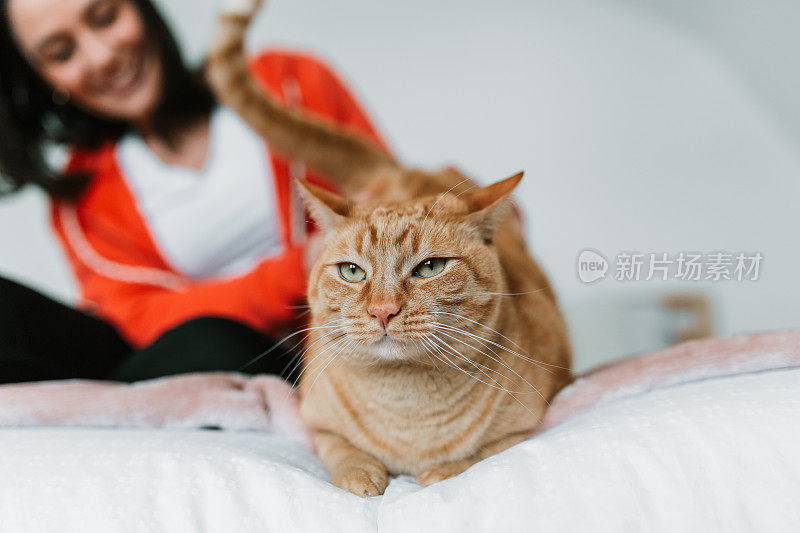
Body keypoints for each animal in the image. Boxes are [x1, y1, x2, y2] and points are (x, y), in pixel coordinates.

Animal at [206, 0, 568, 494]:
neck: (406, 410)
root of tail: (404, 171)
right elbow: (345, 452)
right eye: (352, 271)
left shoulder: (527, 427)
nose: (382, 311)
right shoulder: (319, 425)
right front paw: (360, 475)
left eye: (430, 267)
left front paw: (441, 471)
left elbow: (476, 458)